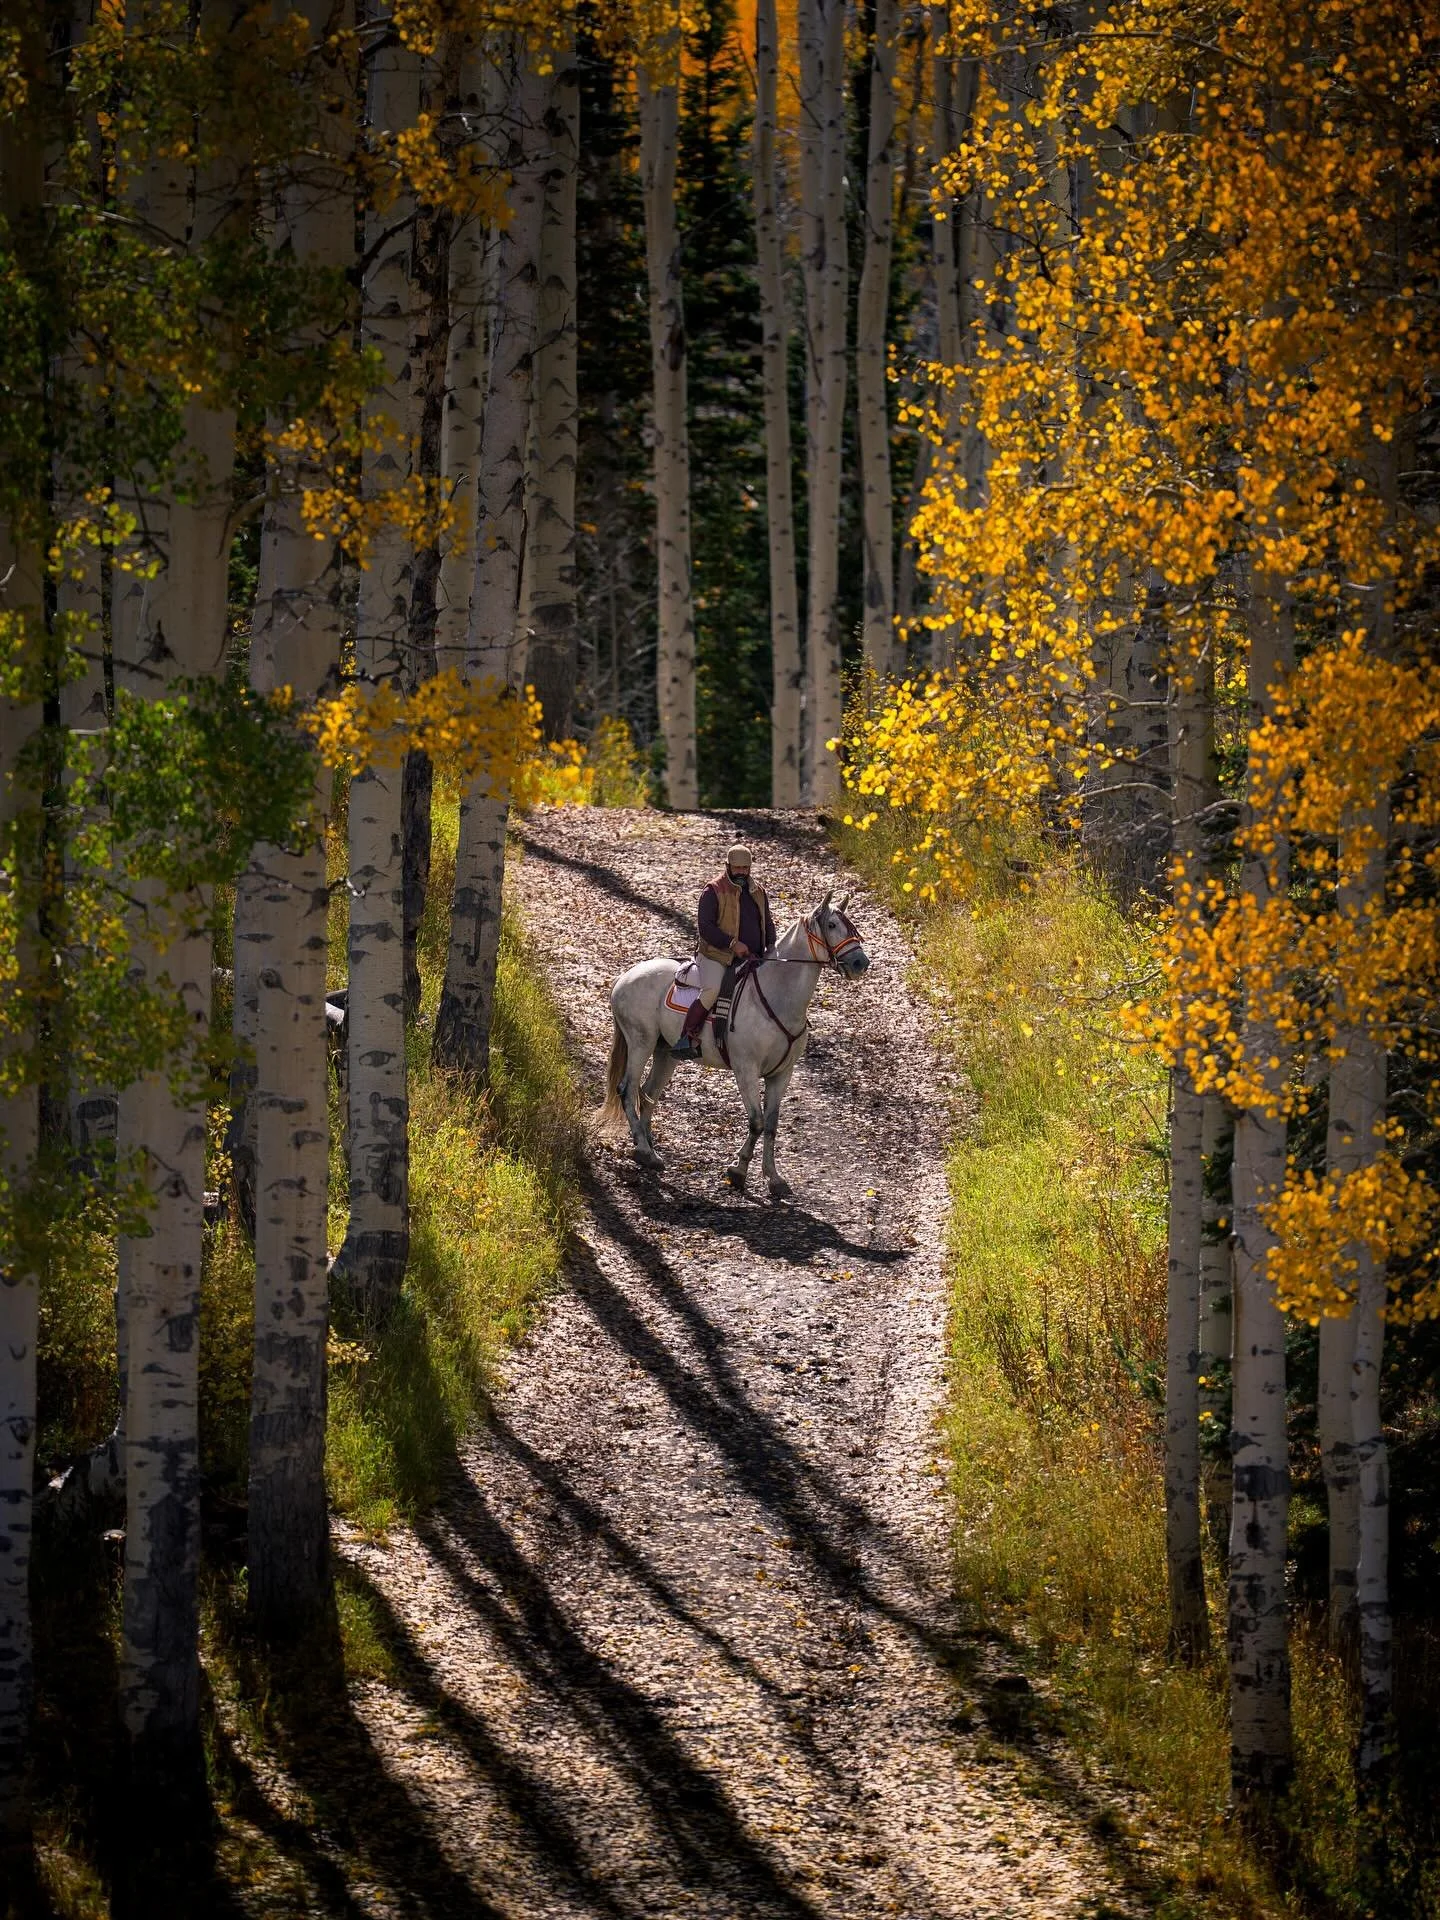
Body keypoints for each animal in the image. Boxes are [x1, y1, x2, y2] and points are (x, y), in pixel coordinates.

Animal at [598, 892, 870, 1198]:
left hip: (665, 1053)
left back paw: (650, 1152)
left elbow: (771, 1125)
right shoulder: (746, 1070)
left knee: (647, 1093)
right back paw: (643, 1148)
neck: (777, 996)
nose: (860, 963)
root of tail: (625, 977)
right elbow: (757, 1121)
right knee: (627, 1089)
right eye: (833, 925)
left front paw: (774, 1178)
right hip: (640, 1044)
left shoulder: (782, 1074)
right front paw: (738, 1171)